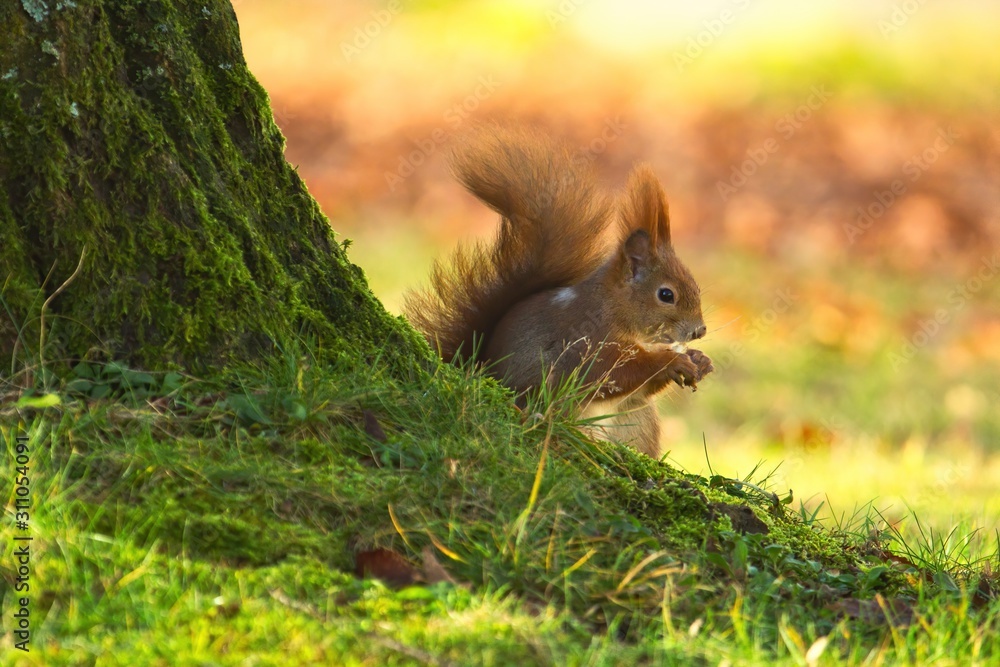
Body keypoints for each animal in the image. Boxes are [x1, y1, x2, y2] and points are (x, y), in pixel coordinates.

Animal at [402, 126, 716, 460]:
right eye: (666, 295)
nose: (699, 331)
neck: (614, 310)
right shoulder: (586, 343)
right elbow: (610, 376)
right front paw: (672, 362)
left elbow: (637, 389)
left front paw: (699, 360)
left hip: (637, 420)